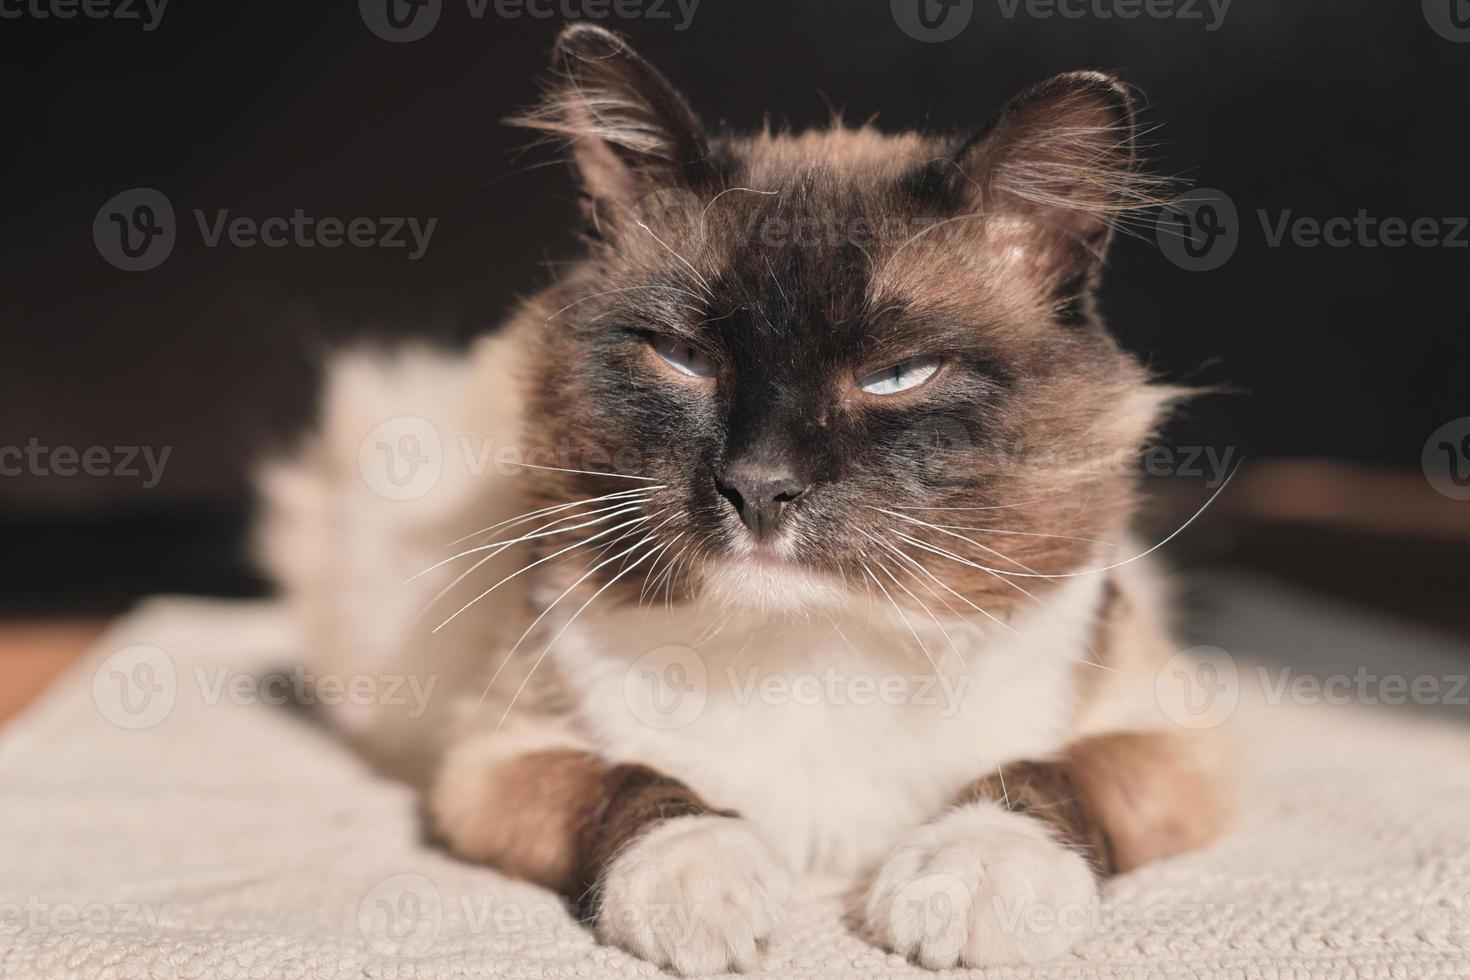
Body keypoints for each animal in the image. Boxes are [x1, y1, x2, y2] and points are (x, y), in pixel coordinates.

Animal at [258, 21, 1234, 975]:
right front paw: (704, 885)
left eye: (897, 377)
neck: (812, 647)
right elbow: (634, 787)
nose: (760, 487)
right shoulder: (497, 761)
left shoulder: (1175, 744)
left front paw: (974, 878)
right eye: (685, 358)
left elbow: (1041, 774)